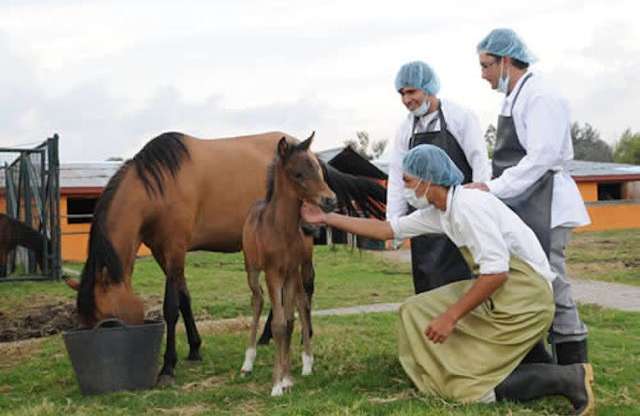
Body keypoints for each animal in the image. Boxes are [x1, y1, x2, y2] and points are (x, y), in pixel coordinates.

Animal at [65, 131, 384, 384]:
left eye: (107, 320)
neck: (158, 186)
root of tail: (313, 152)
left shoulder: (174, 249)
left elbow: (171, 307)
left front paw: (168, 367)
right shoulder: (162, 253)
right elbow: (185, 299)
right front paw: (195, 348)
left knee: (304, 290)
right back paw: (266, 336)